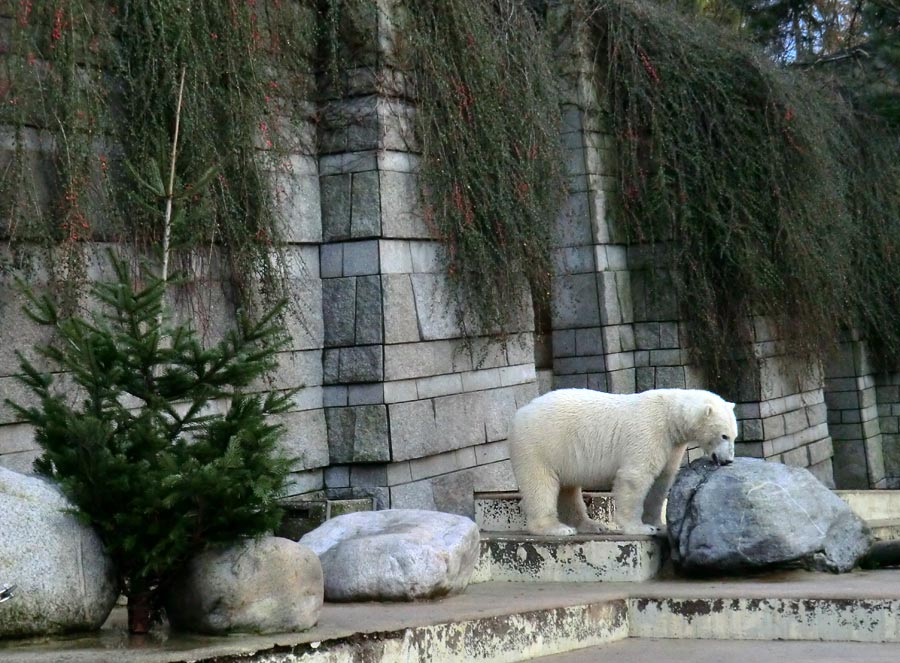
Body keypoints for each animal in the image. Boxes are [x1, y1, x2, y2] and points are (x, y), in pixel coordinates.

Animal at [510, 390, 736, 540]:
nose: (728, 460)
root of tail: (521, 412)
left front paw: (658, 524)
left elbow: (661, 482)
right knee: (541, 484)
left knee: (568, 489)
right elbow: (636, 477)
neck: (670, 415)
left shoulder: (672, 445)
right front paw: (640, 528)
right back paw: (556, 528)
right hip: (540, 445)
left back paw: (591, 525)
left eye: (734, 436)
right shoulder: (649, 433)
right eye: (724, 435)